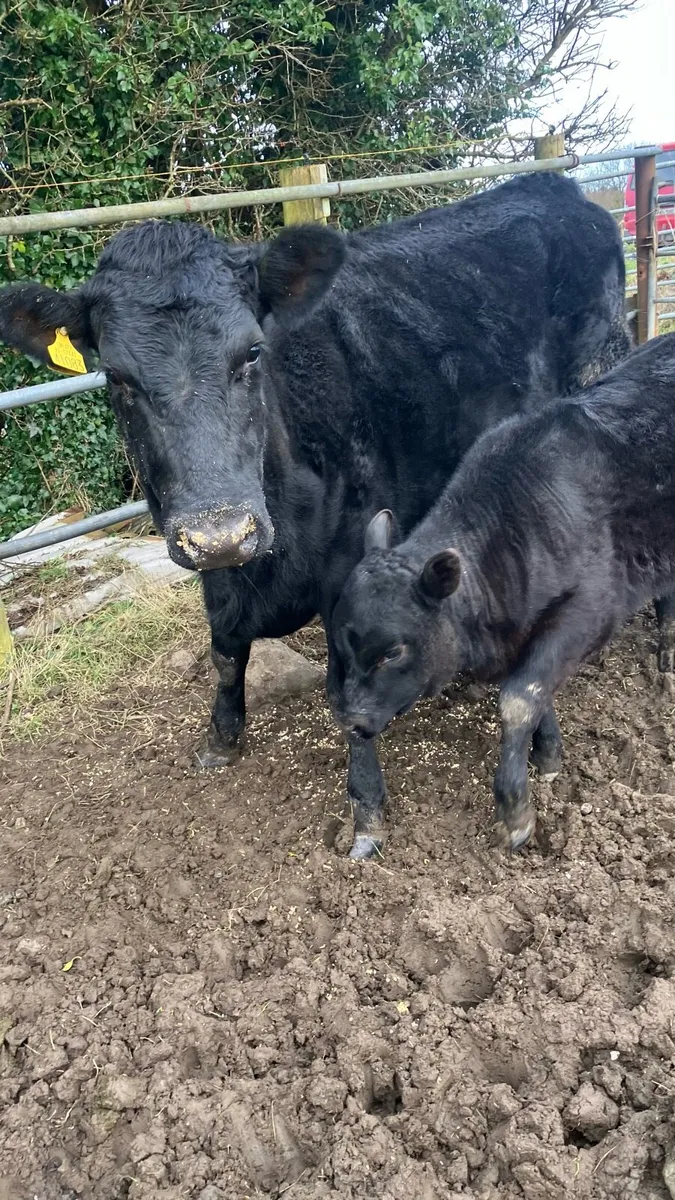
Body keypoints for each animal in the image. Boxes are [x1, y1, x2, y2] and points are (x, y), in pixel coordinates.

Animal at [0, 172, 630, 858]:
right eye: (116, 377)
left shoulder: (347, 571)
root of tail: (555, 187)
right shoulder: (217, 576)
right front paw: (222, 738)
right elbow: (225, 654)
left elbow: (345, 684)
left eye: (253, 351)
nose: (222, 532)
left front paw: (366, 813)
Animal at [329, 334, 675, 853]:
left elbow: (519, 696)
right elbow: (538, 692)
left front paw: (516, 810)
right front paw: (548, 757)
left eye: (393, 651)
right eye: (341, 643)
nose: (351, 720)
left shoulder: (591, 607)